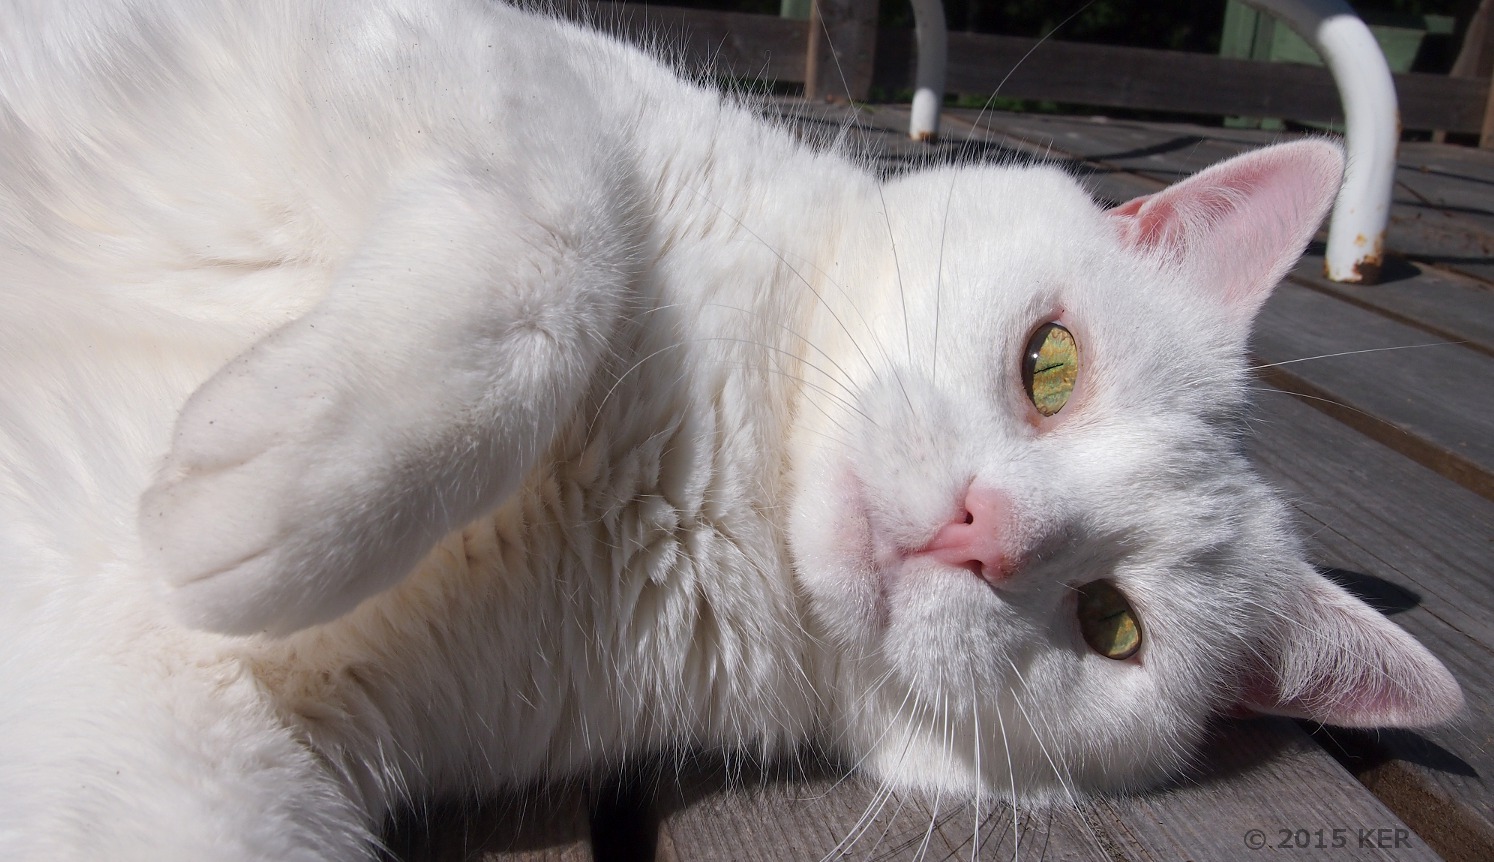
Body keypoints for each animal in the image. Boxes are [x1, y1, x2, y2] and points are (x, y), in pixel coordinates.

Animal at [0, 1, 1464, 860]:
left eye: (1113, 626)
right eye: (1051, 365)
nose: (980, 529)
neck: (720, 459)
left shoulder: (181, 751)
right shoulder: (468, 56)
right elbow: (557, 245)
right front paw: (283, 493)